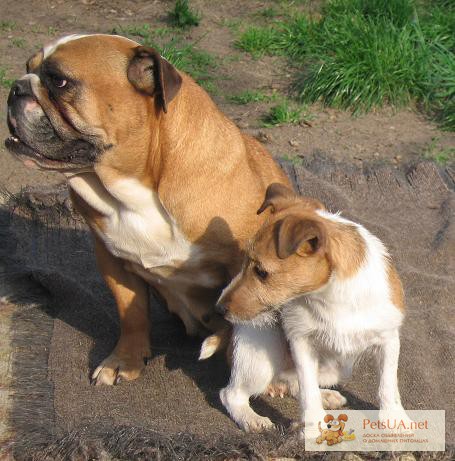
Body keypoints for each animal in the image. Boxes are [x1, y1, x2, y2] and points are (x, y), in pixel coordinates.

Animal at [201, 182, 408, 432]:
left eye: (261, 272)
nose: (218, 309)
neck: (330, 297)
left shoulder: (389, 339)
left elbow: (388, 385)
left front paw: (394, 419)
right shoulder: (302, 341)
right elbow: (308, 390)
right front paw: (313, 429)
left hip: (335, 368)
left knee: (292, 383)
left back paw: (324, 395)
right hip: (263, 351)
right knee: (231, 394)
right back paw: (252, 419)